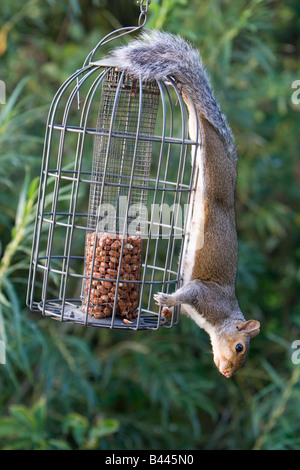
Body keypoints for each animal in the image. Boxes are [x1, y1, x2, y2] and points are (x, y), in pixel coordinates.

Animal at [102, 30, 258, 378]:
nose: (227, 374)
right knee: (199, 119)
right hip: (213, 165)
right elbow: (187, 292)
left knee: (196, 119)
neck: (221, 316)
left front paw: (164, 312)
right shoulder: (204, 293)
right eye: (240, 348)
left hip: (200, 153)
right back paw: (183, 88)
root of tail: (232, 171)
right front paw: (167, 299)